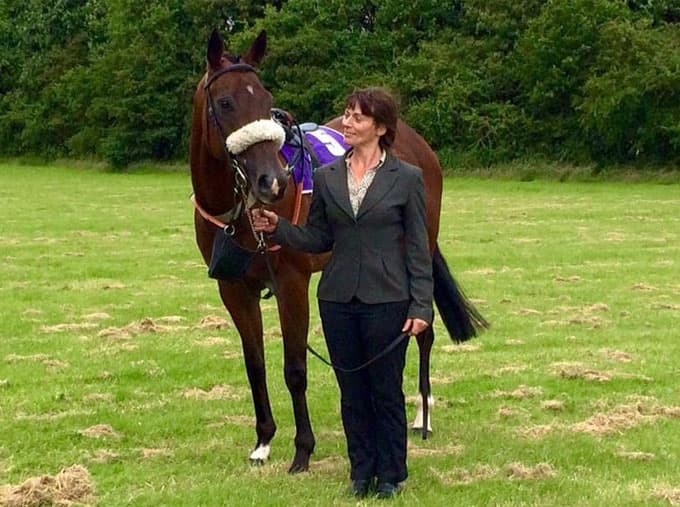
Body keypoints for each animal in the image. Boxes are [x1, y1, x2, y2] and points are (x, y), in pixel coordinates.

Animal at [189, 29, 480, 474]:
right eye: (225, 102)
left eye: (265, 99)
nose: (272, 181)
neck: (237, 211)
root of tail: (413, 141)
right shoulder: (233, 290)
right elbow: (255, 365)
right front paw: (263, 442)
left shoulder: (291, 283)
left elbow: (295, 369)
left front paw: (302, 450)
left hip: (419, 248)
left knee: (423, 330)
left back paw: (423, 415)